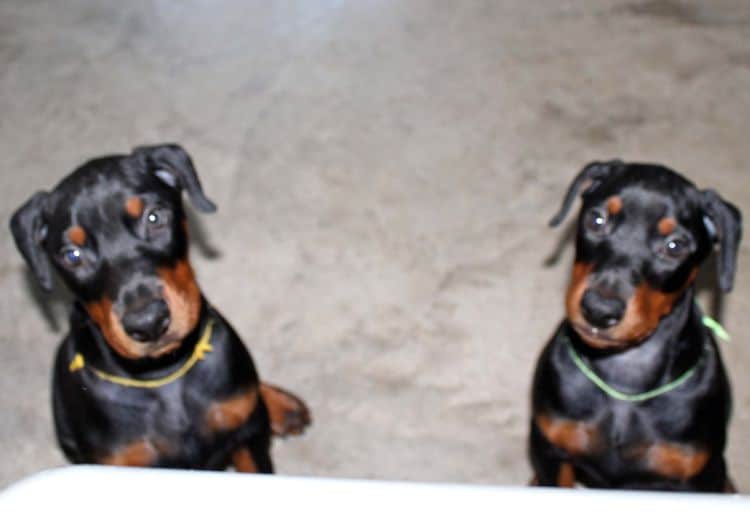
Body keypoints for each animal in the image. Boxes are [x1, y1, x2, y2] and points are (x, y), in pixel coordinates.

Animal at [532, 159, 744, 490]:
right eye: (597, 220)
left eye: (675, 246)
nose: (599, 310)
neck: (624, 381)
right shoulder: (552, 453)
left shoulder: (699, 476)